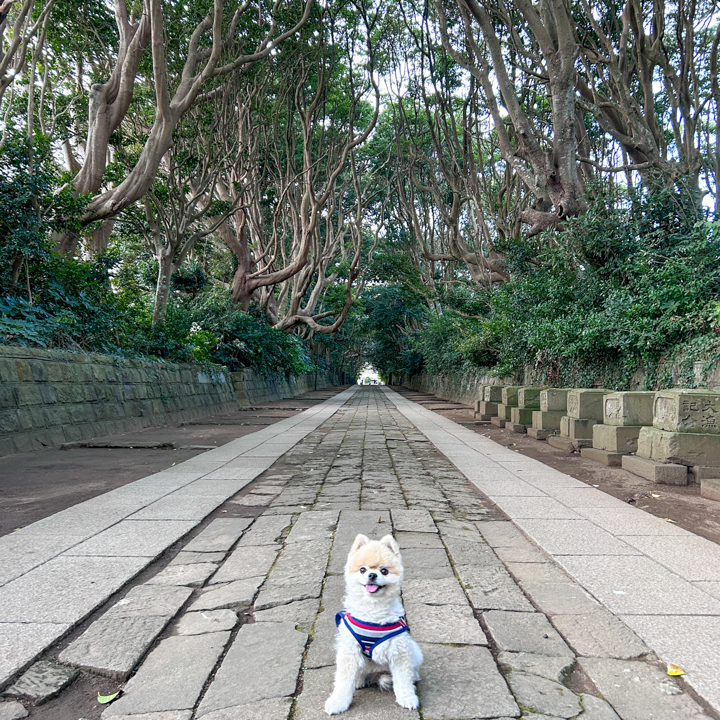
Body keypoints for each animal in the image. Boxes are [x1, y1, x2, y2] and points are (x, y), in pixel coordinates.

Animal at [324, 536, 424, 716]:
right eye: (362, 569)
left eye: (384, 571)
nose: (372, 574)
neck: (373, 612)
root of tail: (377, 674)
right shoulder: (349, 651)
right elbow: (343, 681)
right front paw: (338, 702)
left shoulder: (399, 650)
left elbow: (403, 679)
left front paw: (407, 698)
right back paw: (358, 681)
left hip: (414, 651)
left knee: (412, 671)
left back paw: (414, 677)